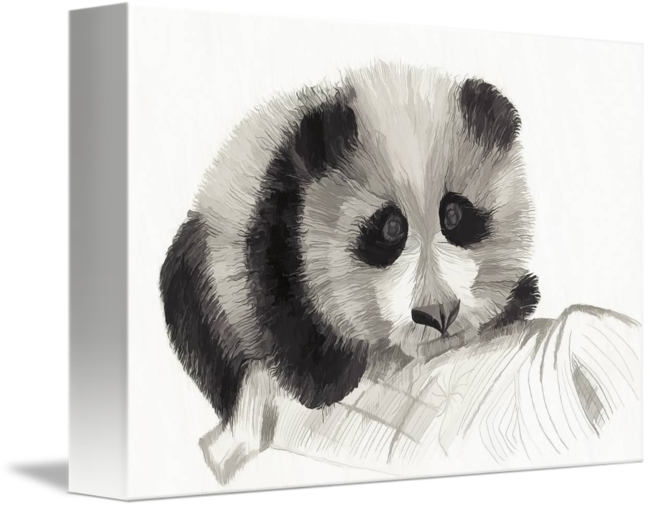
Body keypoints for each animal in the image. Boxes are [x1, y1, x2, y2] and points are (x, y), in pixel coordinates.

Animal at [159, 61, 541, 441]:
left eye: (454, 215)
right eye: (390, 228)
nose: (438, 314)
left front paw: (518, 296)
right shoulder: (279, 216)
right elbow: (280, 296)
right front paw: (325, 378)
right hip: (202, 267)